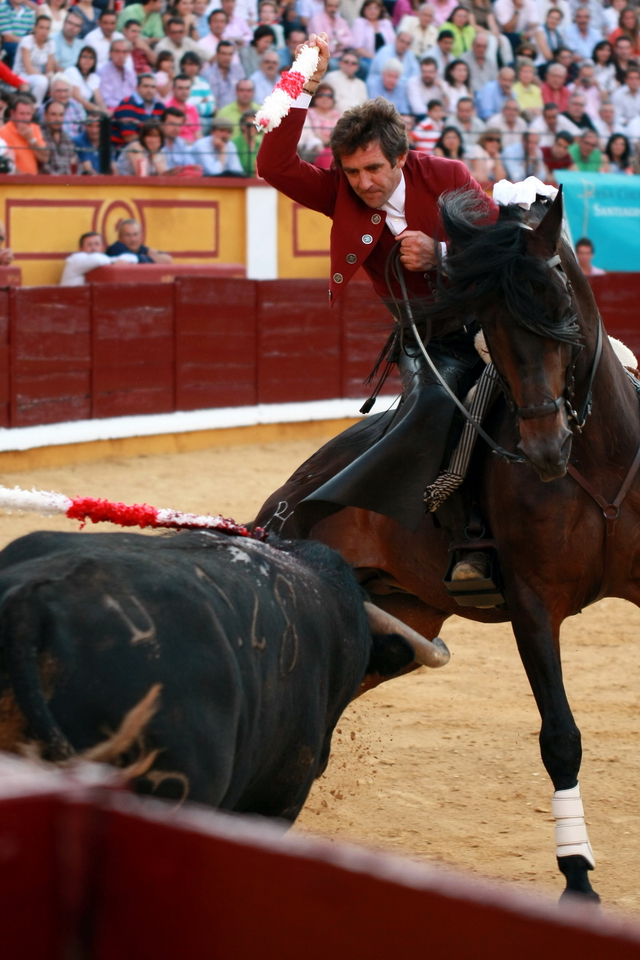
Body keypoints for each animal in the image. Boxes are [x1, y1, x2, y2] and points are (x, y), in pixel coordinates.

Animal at [255, 189, 640, 900]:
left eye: (561, 307)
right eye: (489, 325)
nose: (545, 449)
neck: (596, 464)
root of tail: (285, 500)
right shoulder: (533, 605)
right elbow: (560, 736)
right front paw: (578, 879)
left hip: (406, 619)